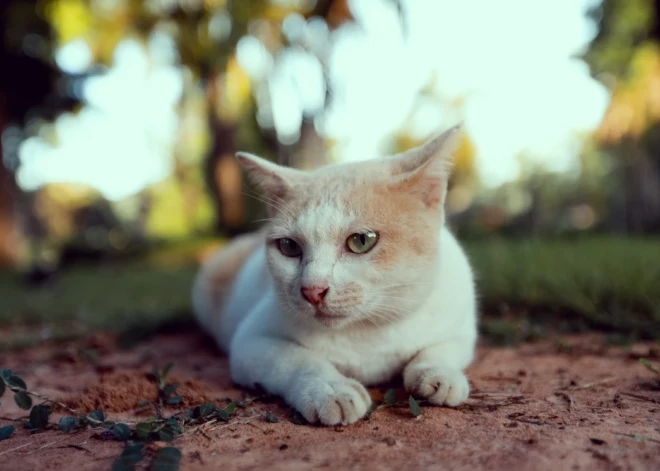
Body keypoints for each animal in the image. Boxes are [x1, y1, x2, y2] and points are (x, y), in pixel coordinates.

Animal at [193, 123, 476, 426]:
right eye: (289, 247)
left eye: (361, 241)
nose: (312, 290)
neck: (367, 332)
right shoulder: (251, 342)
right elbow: (297, 359)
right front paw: (331, 390)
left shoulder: (461, 326)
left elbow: (441, 350)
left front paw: (439, 375)